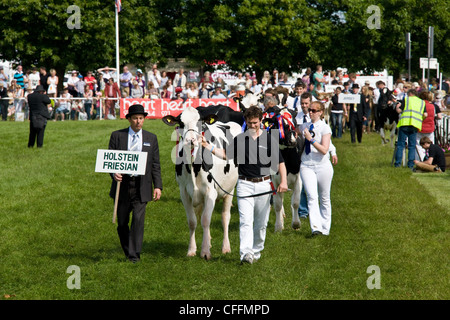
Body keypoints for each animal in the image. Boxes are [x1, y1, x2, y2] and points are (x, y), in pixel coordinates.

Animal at [163, 105, 244, 260]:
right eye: (181, 123)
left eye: (200, 121)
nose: (191, 140)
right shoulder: (184, 193)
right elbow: (192, 221)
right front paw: (192, 249)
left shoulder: (211, 192)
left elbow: (206, 220)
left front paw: (205, 251)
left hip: (229, 190)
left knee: (225, 217)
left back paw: (226, 247)